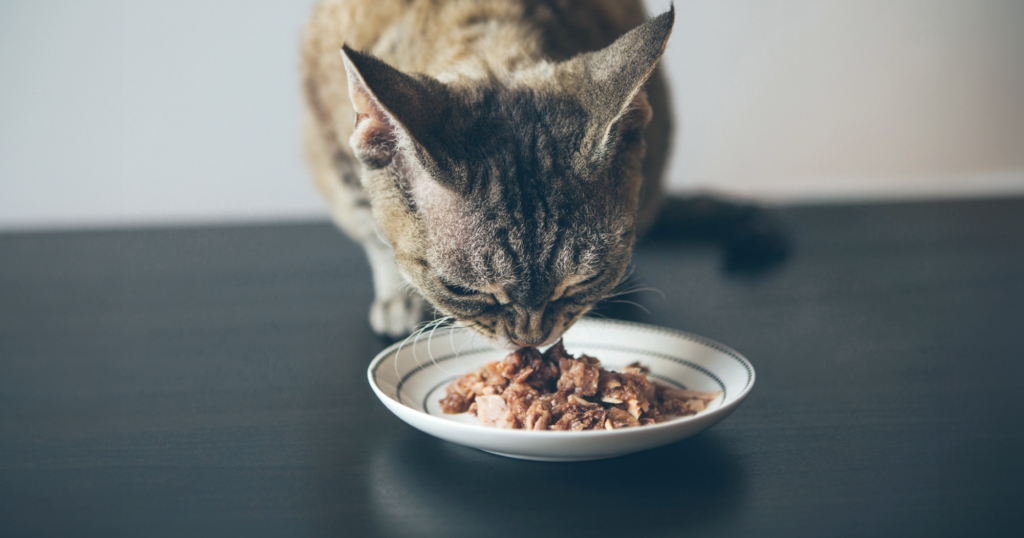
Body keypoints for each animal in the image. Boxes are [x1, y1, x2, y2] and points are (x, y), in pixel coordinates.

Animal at [299, 0, 675, 348]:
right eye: (461, 290)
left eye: (585, 280)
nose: (530, 340)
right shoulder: (335, 152)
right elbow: (374, 231)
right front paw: (399, 297)